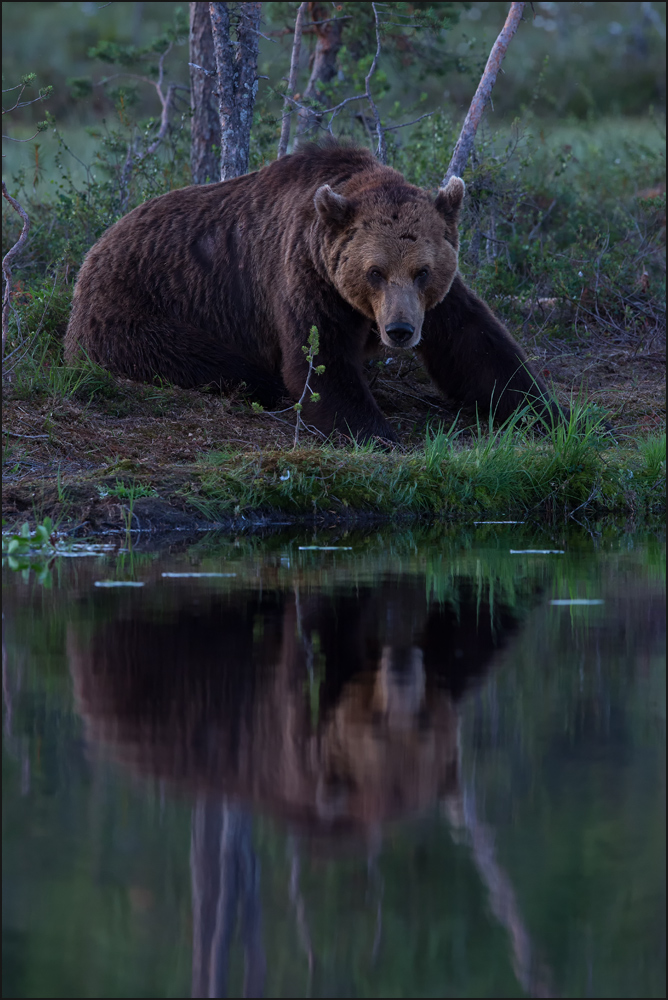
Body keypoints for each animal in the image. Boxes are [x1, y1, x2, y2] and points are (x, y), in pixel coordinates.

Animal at [64, 142, 564, 442]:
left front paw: (548, 412)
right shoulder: (306, 279)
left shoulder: (435, 302)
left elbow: (476, 347)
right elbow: (319, 361)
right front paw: (378, 432)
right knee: (216, 362)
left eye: (421, 271)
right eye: (375, 271)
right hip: (140, 312)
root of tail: (93, 251)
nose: (399, 331)